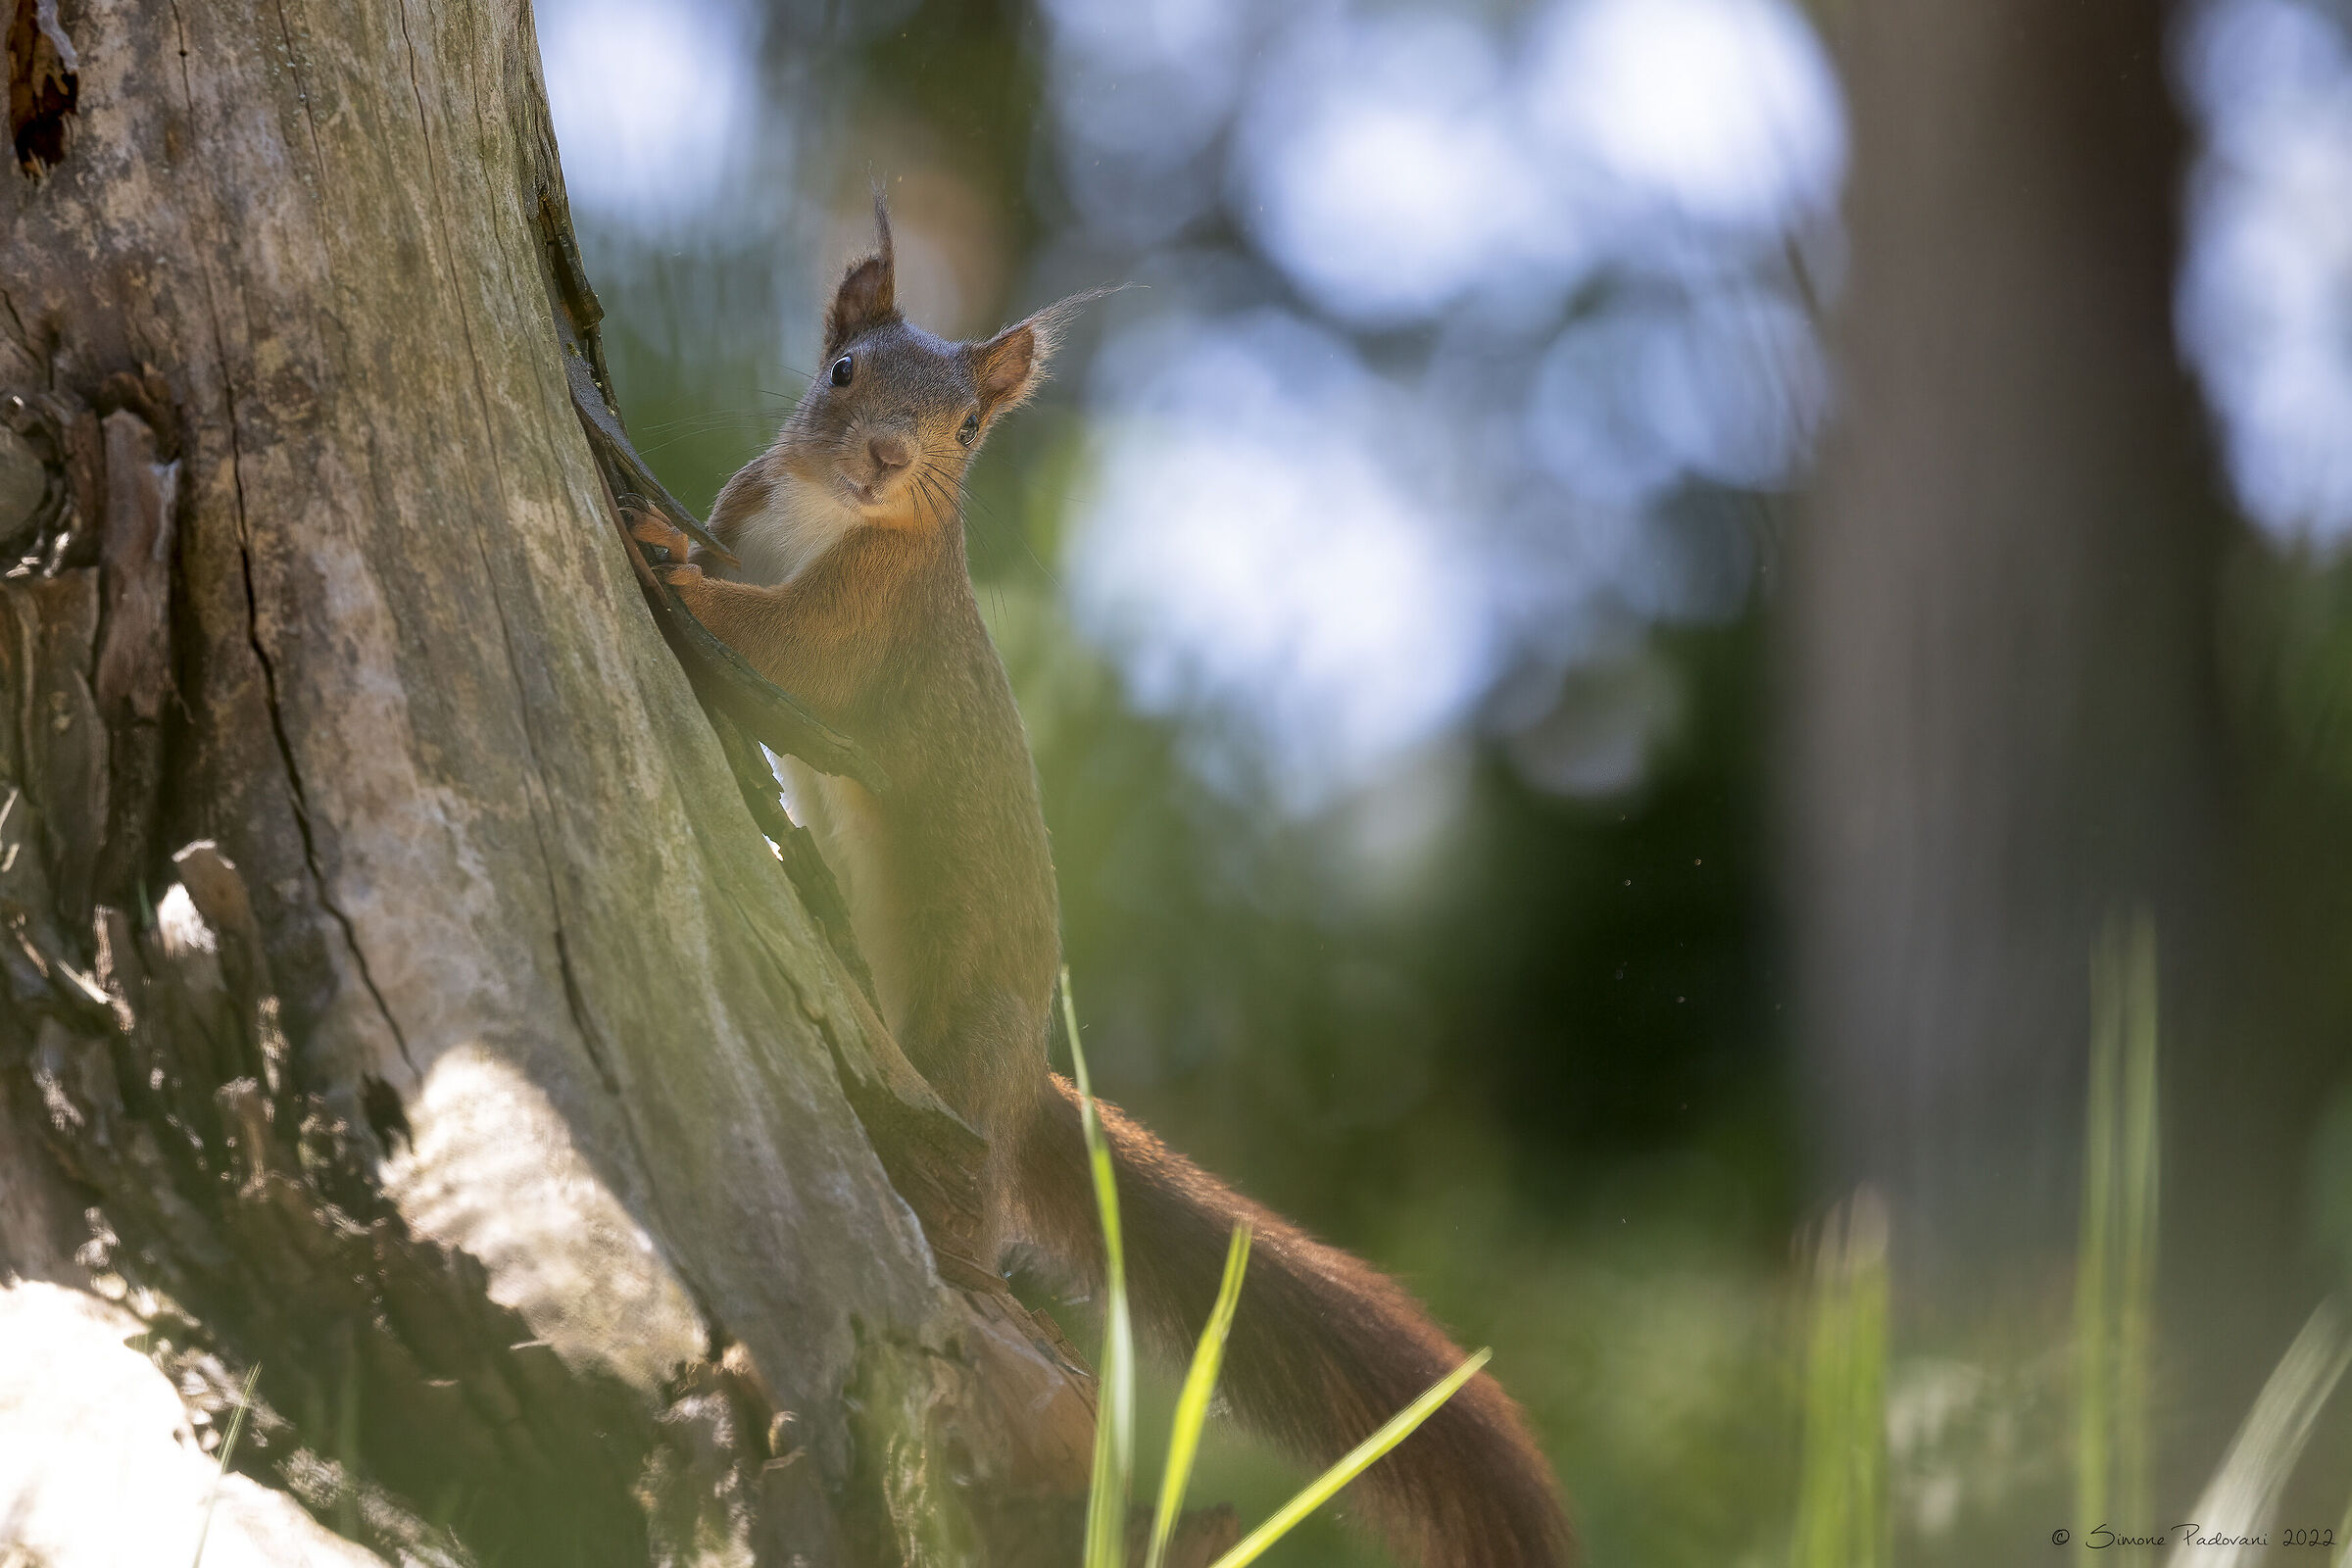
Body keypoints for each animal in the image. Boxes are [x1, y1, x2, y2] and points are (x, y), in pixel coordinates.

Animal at [629, 199, 1574, 1568]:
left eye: (965, 431)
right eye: (843, 370)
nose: (884, 458)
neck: (828, 519)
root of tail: (1024, 1083)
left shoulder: (868, 624)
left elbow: (776, 646)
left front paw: (654, 551)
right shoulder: (752, 505)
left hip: (959, 1074)